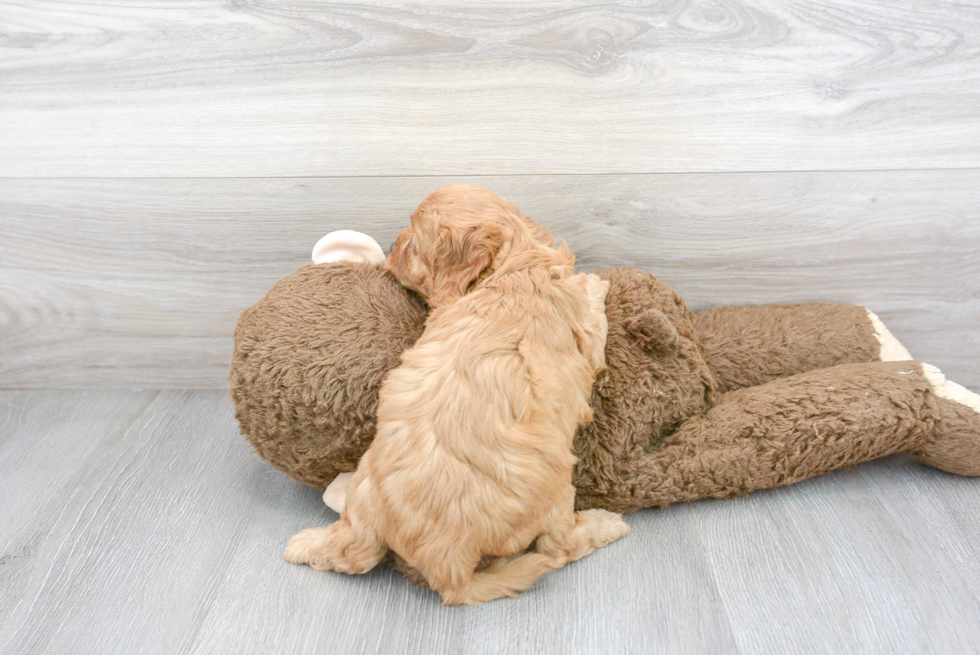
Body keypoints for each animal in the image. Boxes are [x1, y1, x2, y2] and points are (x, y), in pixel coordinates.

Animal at [288, 183, 632, 604]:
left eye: (410, 245)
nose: (392, 243)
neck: (512, 269)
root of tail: (448, 569)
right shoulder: (589, 342)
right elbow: (593, 313)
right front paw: (595, 283)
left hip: (365, 493)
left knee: (352, 554)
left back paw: (303, 545)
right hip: (556, 494)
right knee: (559, 547)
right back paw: (606, 524)